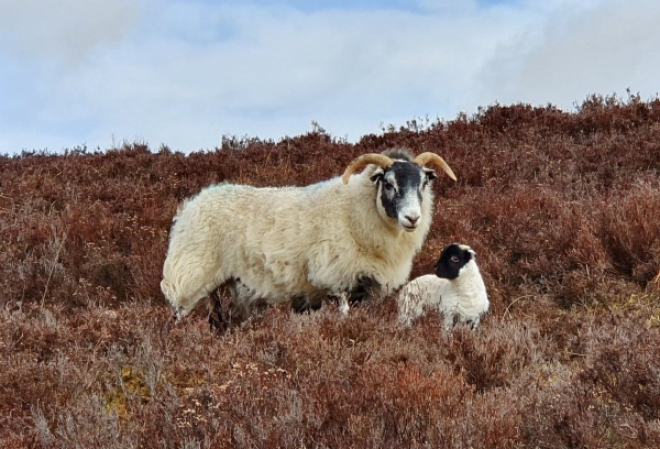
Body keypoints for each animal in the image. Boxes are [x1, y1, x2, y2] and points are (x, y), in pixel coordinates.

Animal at [162, 148, 456, 322]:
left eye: (423, 183)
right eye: (389, 184)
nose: (412, 218)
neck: (355, 210)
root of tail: (191, 204)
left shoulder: (367, 287)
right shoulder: (335, 277)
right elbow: (344, 314)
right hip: (188, 276)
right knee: (179, 312)